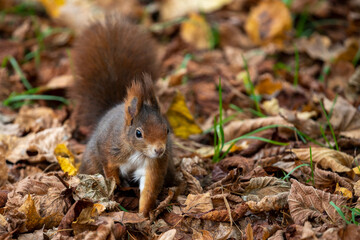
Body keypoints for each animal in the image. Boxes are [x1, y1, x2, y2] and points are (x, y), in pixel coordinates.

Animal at [70, 15, 176, 217]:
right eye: (138, 133)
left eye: (166, 130)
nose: (159, 150)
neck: (136, 152)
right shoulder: (109, 149)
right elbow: (110, 168)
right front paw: (116, 184)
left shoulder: (154, 166)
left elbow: (149, 188)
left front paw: (143, 214)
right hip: (91, 161)